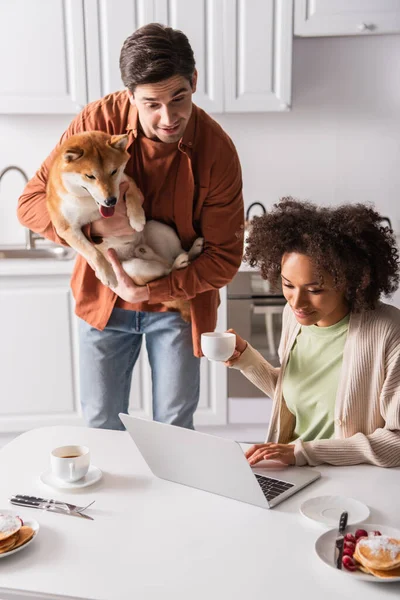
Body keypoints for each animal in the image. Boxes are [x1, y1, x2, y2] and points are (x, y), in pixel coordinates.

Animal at [47, 130, 203, 318]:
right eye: (90, 176)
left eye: (113, 171)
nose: (111, 200)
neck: (90, 204)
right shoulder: (66, 228)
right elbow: (93, 252)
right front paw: (106, 274)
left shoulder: (127, 181)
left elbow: (131, 194)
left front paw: (136, 218)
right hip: (133, 267)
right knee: (165, 270)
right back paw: (167, 258)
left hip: (158, 228)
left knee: (170, 266)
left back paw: (189, 251)